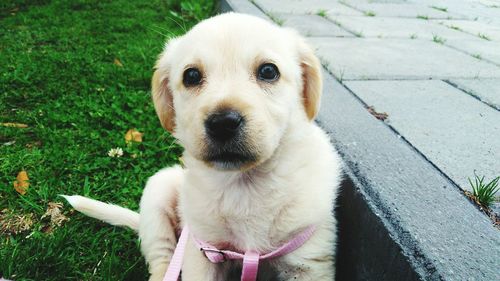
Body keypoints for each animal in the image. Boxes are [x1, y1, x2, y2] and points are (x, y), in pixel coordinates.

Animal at [65, 12, 340, 280]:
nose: (223, 123)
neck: (244, 186)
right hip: (159, 191)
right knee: (162, 259)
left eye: (268, 71)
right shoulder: (202, 251)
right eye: (192, 76)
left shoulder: (308, 261)